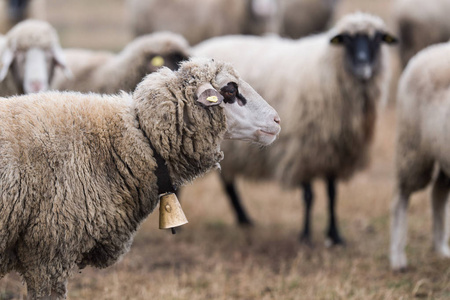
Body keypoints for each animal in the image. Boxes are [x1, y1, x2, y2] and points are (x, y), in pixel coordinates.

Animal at [193, 12, 398, 246]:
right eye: (346, 40)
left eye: (378, 39)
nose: (363, 65)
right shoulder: (302, 150)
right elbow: (309, 196)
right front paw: (306, 236)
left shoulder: (334, 153)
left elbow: (332, 194)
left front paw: (335, 235)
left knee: (227, 183)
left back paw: (244, 219)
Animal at [390, 41, 450, 270]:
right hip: (412, 151)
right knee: (400, 198)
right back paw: (397, 258)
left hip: (442, 152)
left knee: (438, 193)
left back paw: (440, 248)